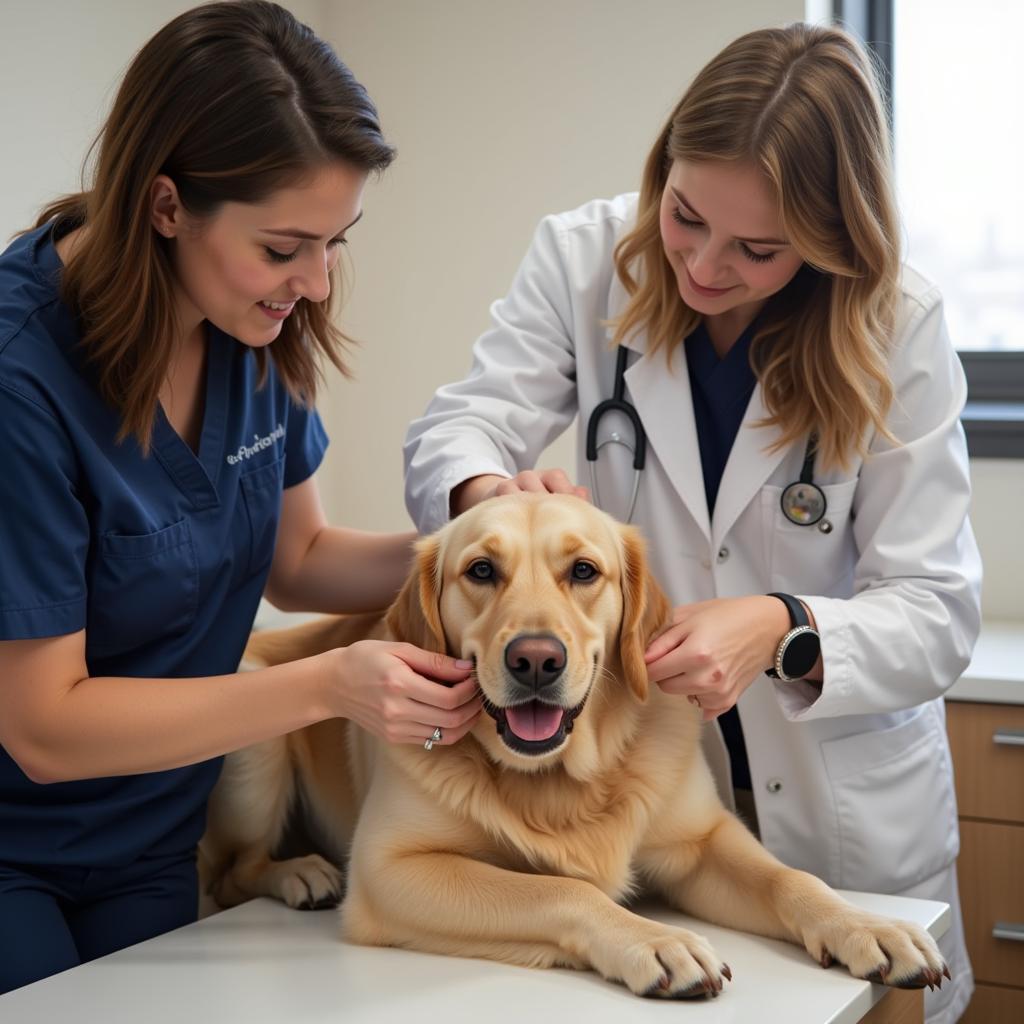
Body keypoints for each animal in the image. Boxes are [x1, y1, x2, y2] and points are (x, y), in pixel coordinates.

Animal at [203, 491, 946, 995]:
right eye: (481, 571)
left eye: (584, 572)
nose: (536, 660)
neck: (561, 778)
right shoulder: (391, 871)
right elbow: (563, 891)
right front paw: (658, 941)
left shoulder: (702, 842)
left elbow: (792, 878)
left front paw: (868, 926)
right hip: (255, 740)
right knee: (231, 871)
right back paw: (301, 872)